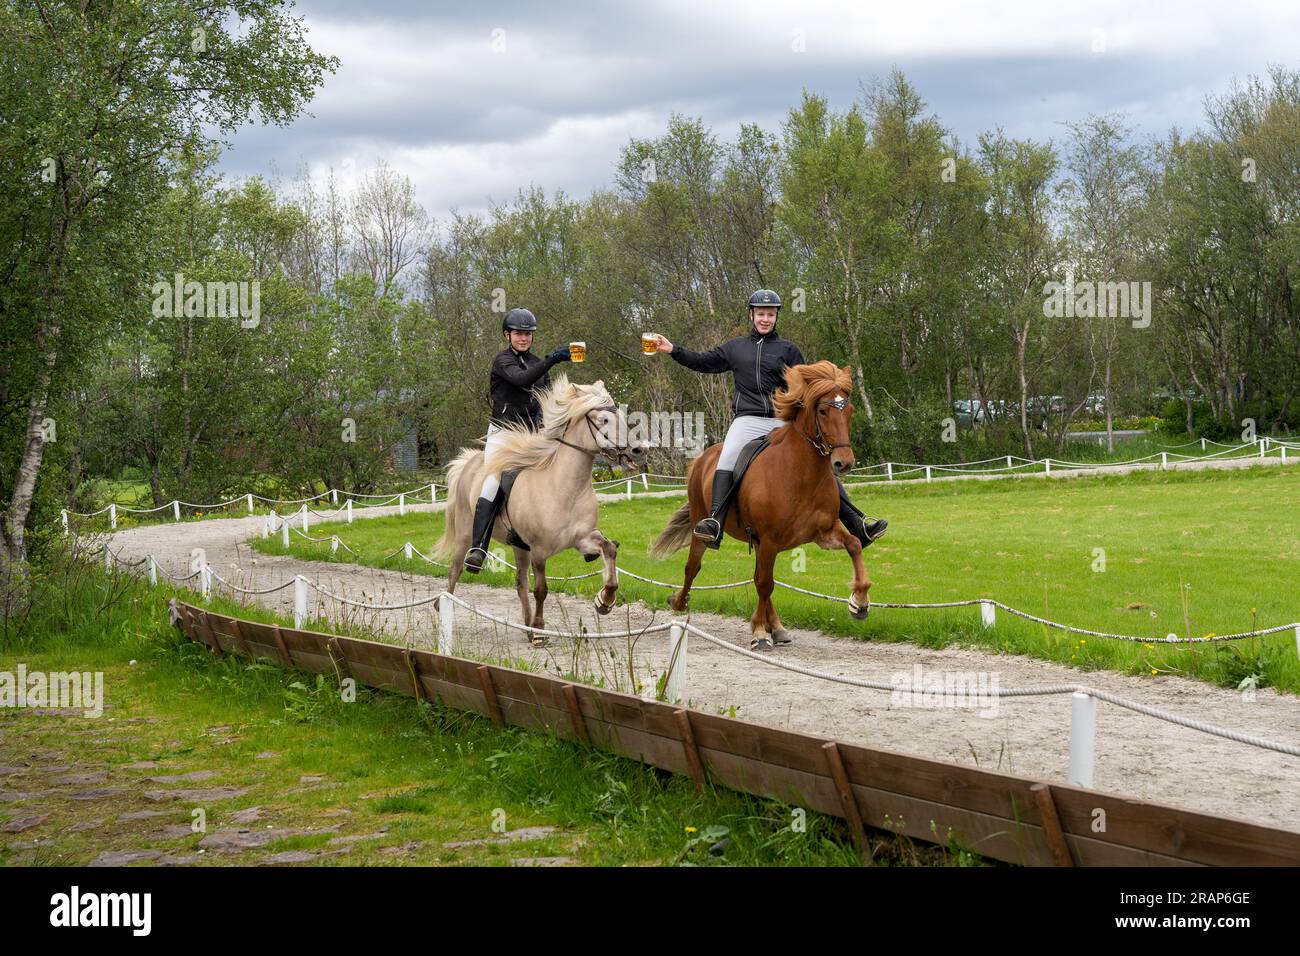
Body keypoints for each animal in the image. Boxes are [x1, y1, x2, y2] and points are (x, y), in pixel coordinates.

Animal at [431, 377, 644, 639]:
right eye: (604, 420)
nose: (638, 450)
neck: (565, 489)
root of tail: (469, 462)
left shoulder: (582, 538)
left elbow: (609, 550)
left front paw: (604, 601)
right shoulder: (540, 551)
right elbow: (541, 589)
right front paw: (541, 630)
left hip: (519, 546)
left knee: (520, 580)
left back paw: (527, 625)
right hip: (464, 535)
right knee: (455, 570)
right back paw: (444, 607)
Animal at [650, 361, 873, 655]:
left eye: (850, 410)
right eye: (823, 411)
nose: (843, 463)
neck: (801, 474)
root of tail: (702, 459)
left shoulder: (822, 533)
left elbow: (854, 545)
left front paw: (859, 601)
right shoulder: (769, 540)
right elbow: (764, 584)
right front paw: (758, 632)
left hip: (759, 543)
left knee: (759, 578)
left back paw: (777, 627)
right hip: (705, 528)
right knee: (694, 567)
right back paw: (679, 602)